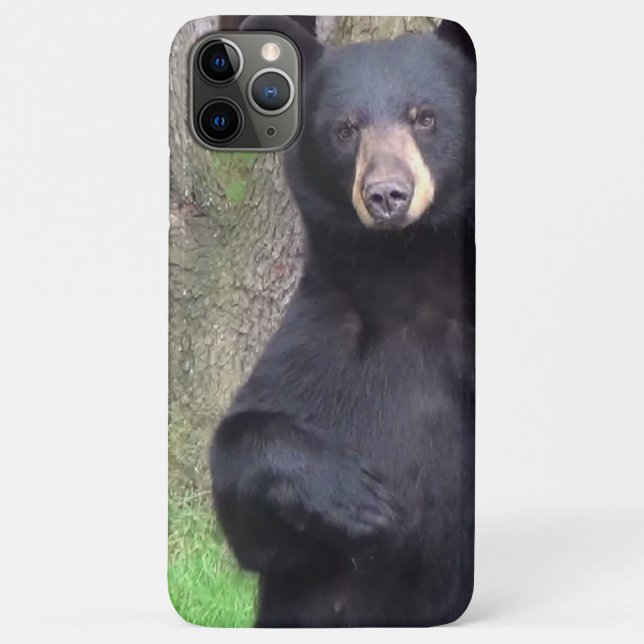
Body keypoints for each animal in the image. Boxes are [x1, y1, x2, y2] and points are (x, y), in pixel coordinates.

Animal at [210, 16, 476, 628]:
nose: (387, 195)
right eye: (345, 129)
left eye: (426, 117)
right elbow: (251, 522)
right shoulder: (320, 341)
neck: (405, 276)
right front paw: (359, 498)